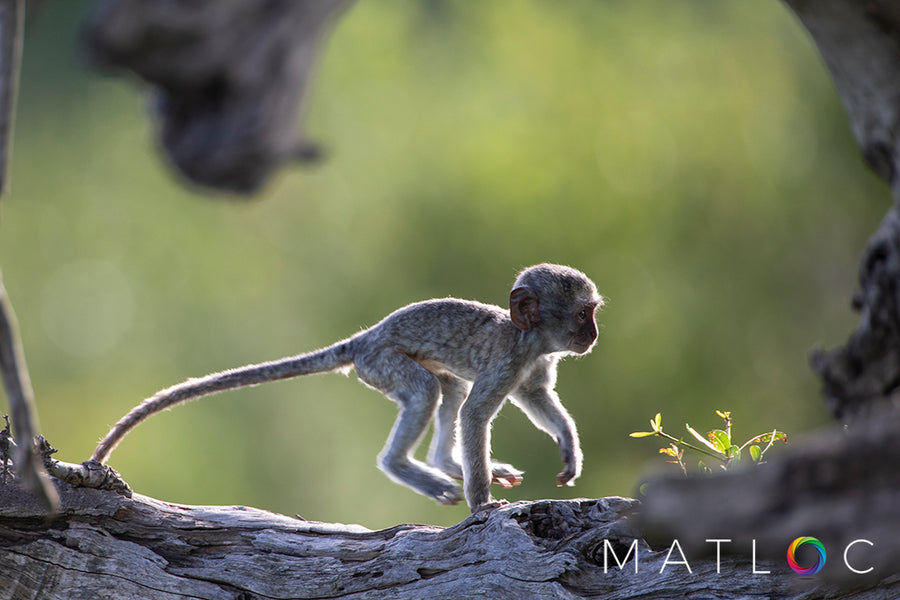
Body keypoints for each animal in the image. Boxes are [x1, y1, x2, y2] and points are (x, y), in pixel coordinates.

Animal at [95, 262, 604, 510]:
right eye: (583, 313)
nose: (593, 335)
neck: (528, 339)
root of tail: (365, 339)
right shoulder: (508, 361)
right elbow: (476, 414)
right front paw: (482, 504)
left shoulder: (535, 366)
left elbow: (535, 397)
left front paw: (569, 448)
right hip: (380, 364)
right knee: (429, 390)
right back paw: (406, 466)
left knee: (448, 390)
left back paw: (443, 464)